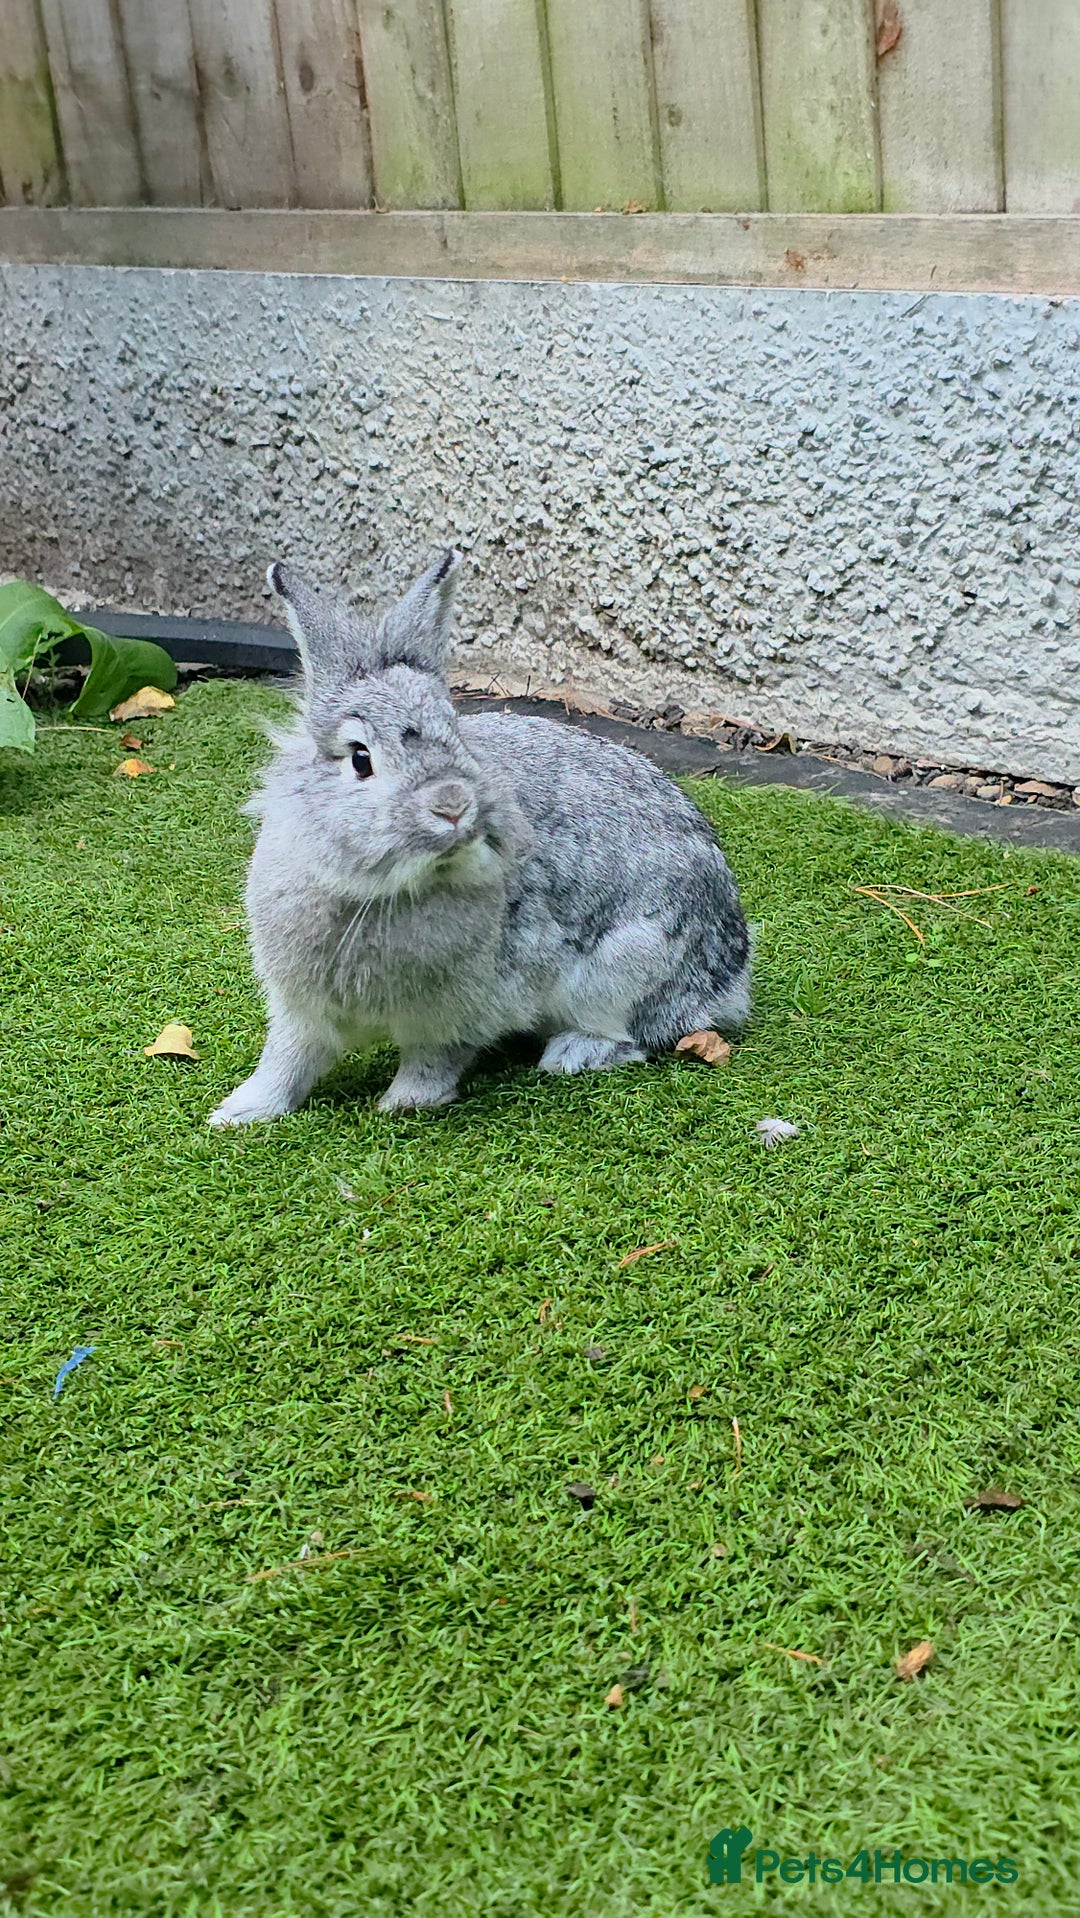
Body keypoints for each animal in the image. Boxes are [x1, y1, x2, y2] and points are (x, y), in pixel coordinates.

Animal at [209, 551, 750, 1125]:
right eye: (360, 758)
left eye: (455, 733)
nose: (452, 804)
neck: (385, 891)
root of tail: (734, 976)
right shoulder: (299, 1008)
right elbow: (288, 1060)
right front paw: (239, 1113)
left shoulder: (459, 1009)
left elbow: (434, 1059)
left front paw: (403, 1103)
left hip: (624, 970)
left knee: (642, 1035)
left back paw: (571, 1054)